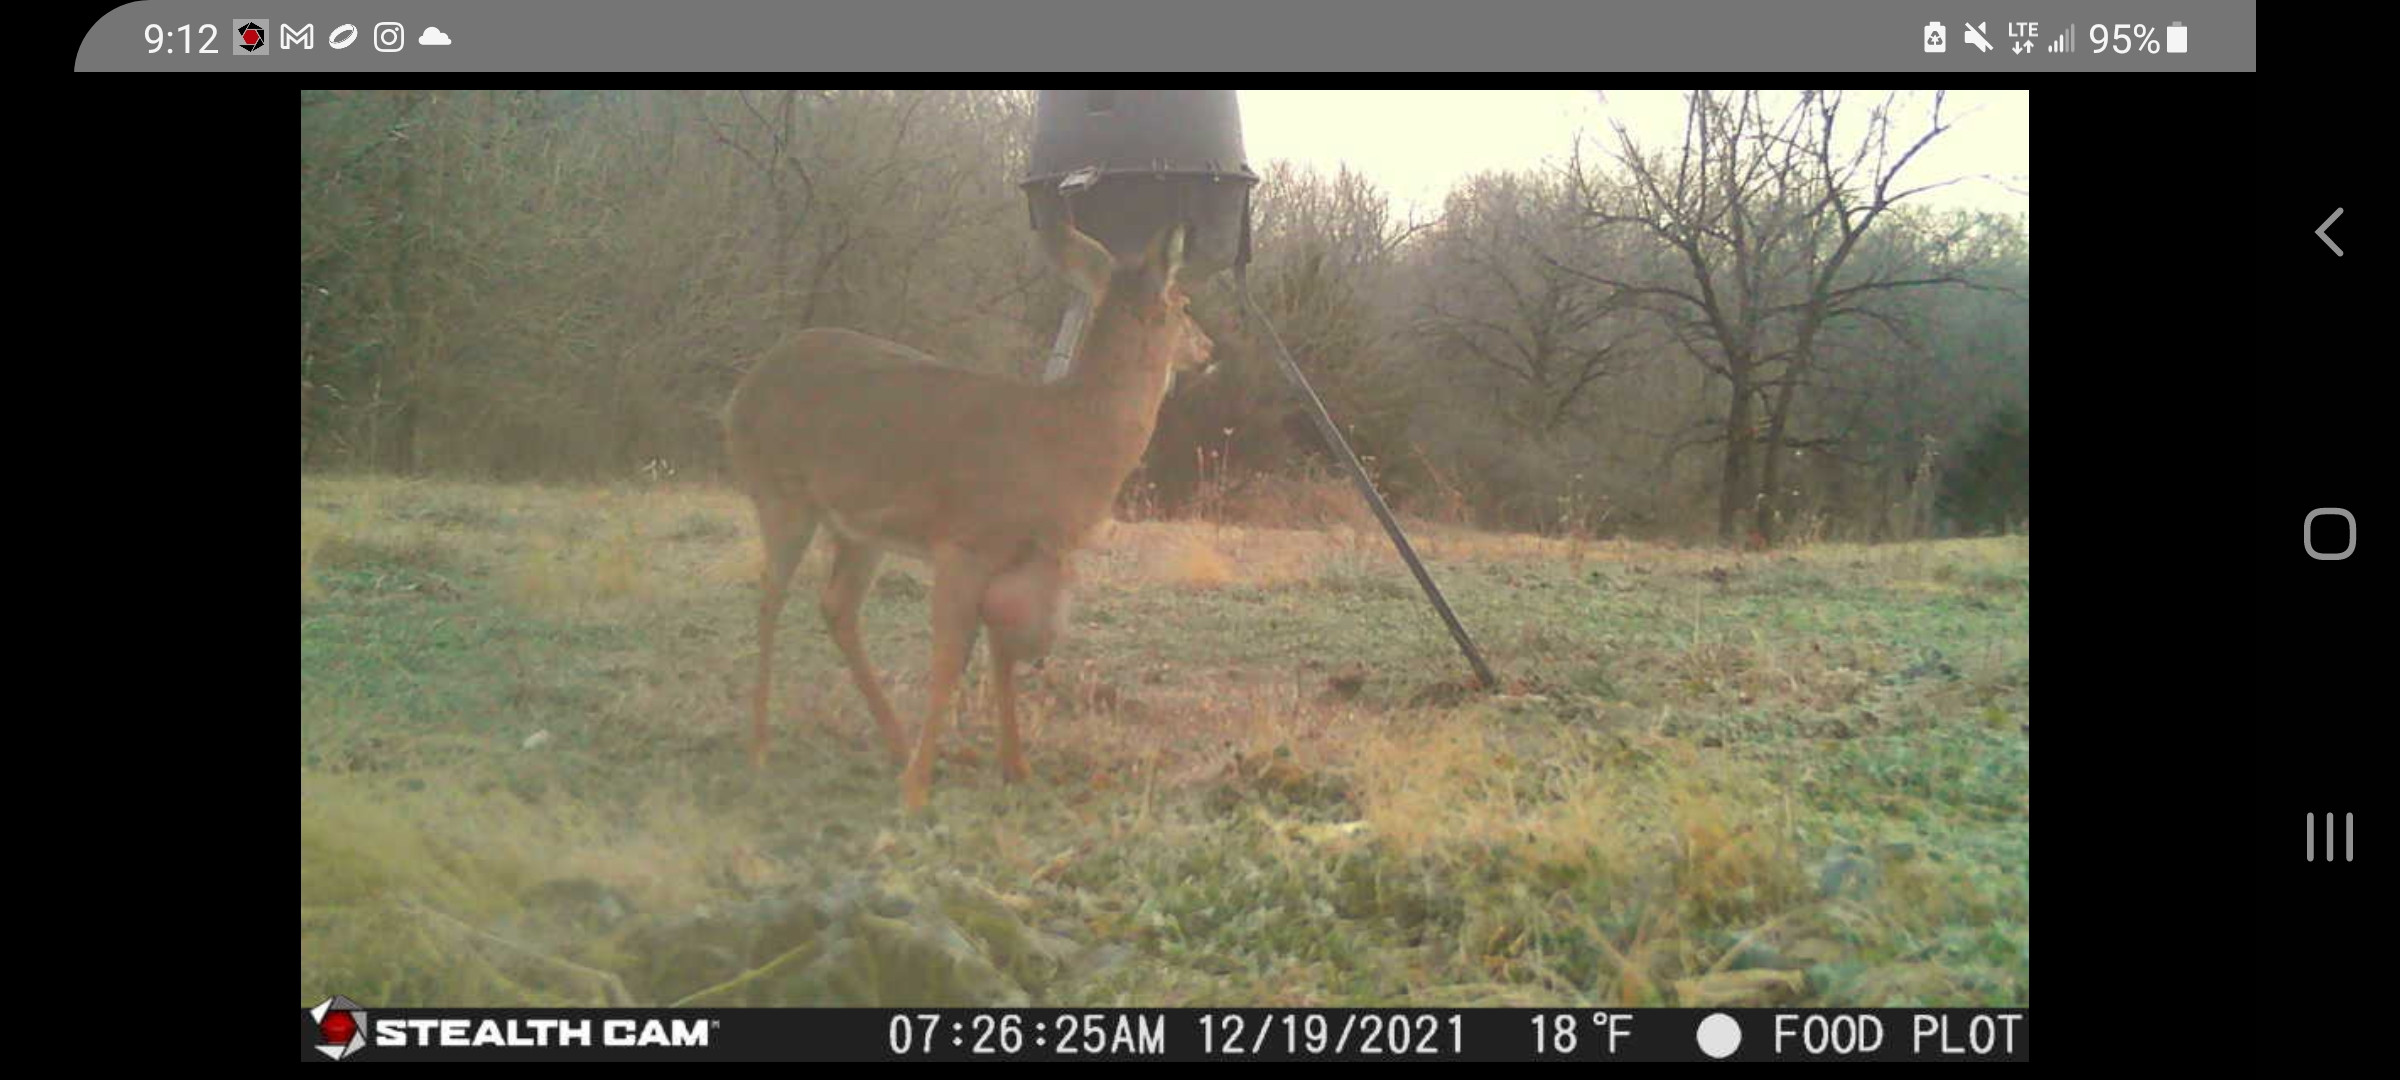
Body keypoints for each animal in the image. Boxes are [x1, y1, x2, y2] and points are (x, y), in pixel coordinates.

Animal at [723, 209, 1212, 812]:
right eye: (1184, 304)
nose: (1209, 349)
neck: (1067, 438)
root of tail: (741, 392)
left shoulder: (1015, 560)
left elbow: (1002, 657)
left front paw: (1015, 766)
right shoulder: (965, 544)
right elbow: (949, 656)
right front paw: (916, 789)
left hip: (860, 530)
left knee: (836, 605)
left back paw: (895, 741)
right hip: (781, 494)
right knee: (771, 596)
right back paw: (761, 748)